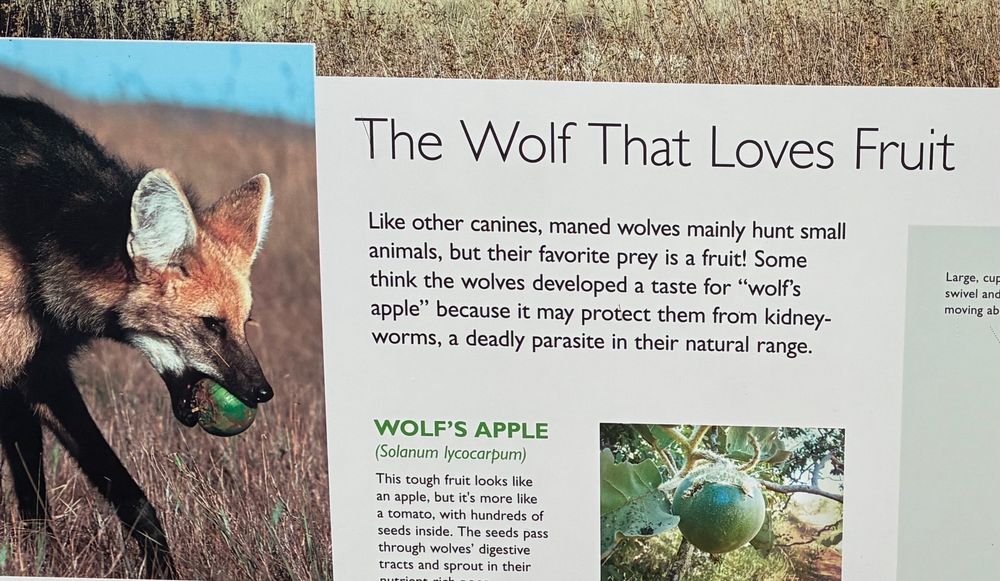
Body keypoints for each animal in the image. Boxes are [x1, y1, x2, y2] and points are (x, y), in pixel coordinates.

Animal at [0, 96, 276, 578]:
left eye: (245, 323)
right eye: (212, 324)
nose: (262, 391)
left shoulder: (35, 368)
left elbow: (121, 495)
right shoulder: (17, 368)